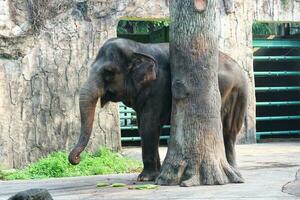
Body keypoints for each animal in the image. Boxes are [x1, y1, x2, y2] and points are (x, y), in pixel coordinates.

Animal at [68, 37, 248, 181]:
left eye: (108, 72)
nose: (76, 159)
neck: (139, 47)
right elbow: (143, 126)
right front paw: (156, 174)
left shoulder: (159, 86)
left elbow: (150, 124)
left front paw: (145, 178)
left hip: (237, 94)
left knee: (229, 131)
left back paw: (235, 171)